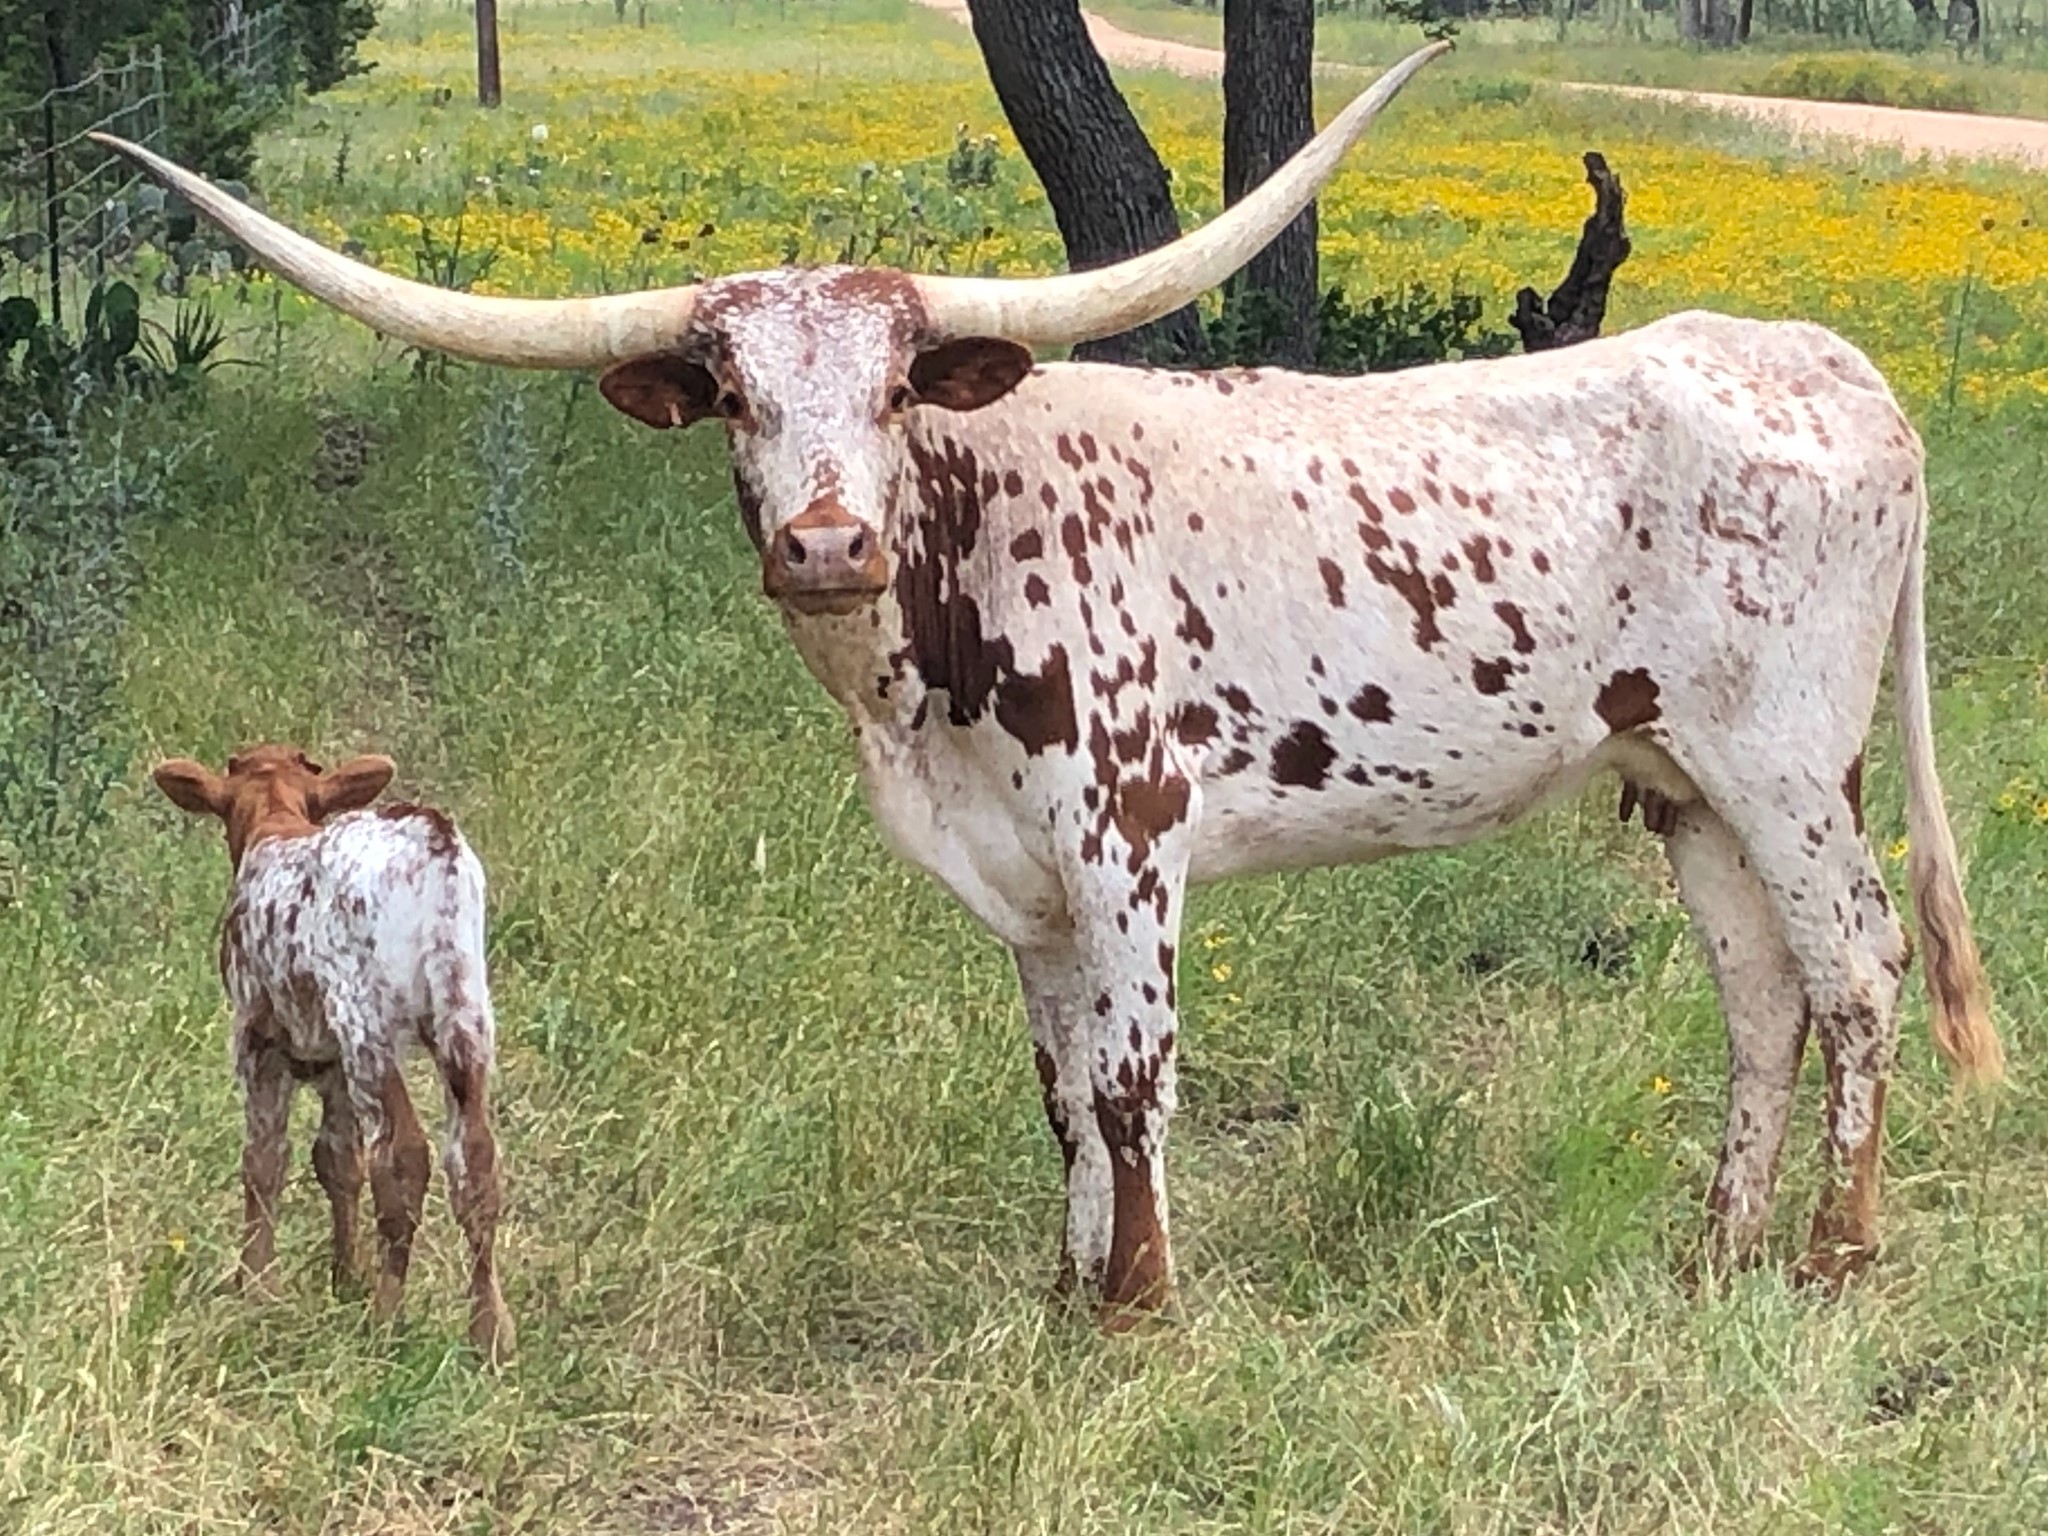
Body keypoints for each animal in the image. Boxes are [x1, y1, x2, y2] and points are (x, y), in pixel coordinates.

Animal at [153, 745, 514, 1360]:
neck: (275, 821)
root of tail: (434, 840)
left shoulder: (258, 1039)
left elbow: (265, 1160)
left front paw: (256, 1281)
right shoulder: (331, 1063)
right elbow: (338, 1161)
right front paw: (346, 1277)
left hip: (365, 1015)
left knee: (405, 1155)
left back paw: (386, 1317)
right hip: (465, 1011)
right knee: (474, 1158)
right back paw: (490, 1329)